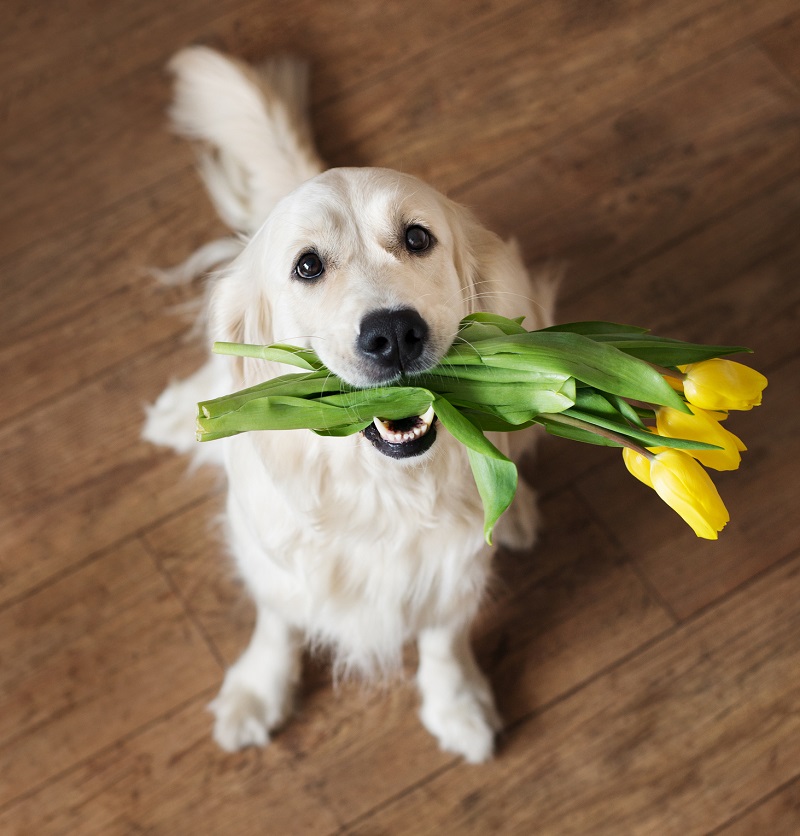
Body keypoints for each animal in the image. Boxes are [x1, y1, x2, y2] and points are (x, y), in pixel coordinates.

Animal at [144, 47, 552, 764]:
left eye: (417, 238)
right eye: (307, 266)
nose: (394, 334)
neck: (380, 491)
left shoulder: (452, 568)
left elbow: (444, 636)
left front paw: (458, 705)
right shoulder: (275, 554)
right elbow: (278, 620)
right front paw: (259, 689)